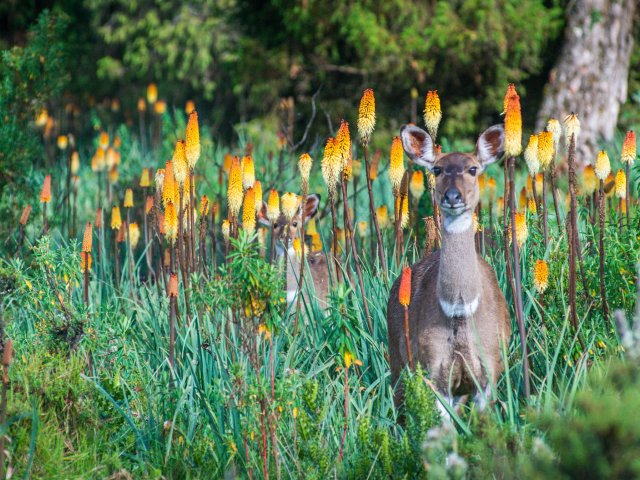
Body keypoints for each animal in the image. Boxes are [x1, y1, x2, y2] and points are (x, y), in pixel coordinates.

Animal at [388, 124, 512, 420]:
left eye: (473, 169)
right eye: (437, 169)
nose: (453, 196)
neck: (459, 311)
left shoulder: (489, 369)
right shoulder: (434, 371)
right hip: (398, 362)